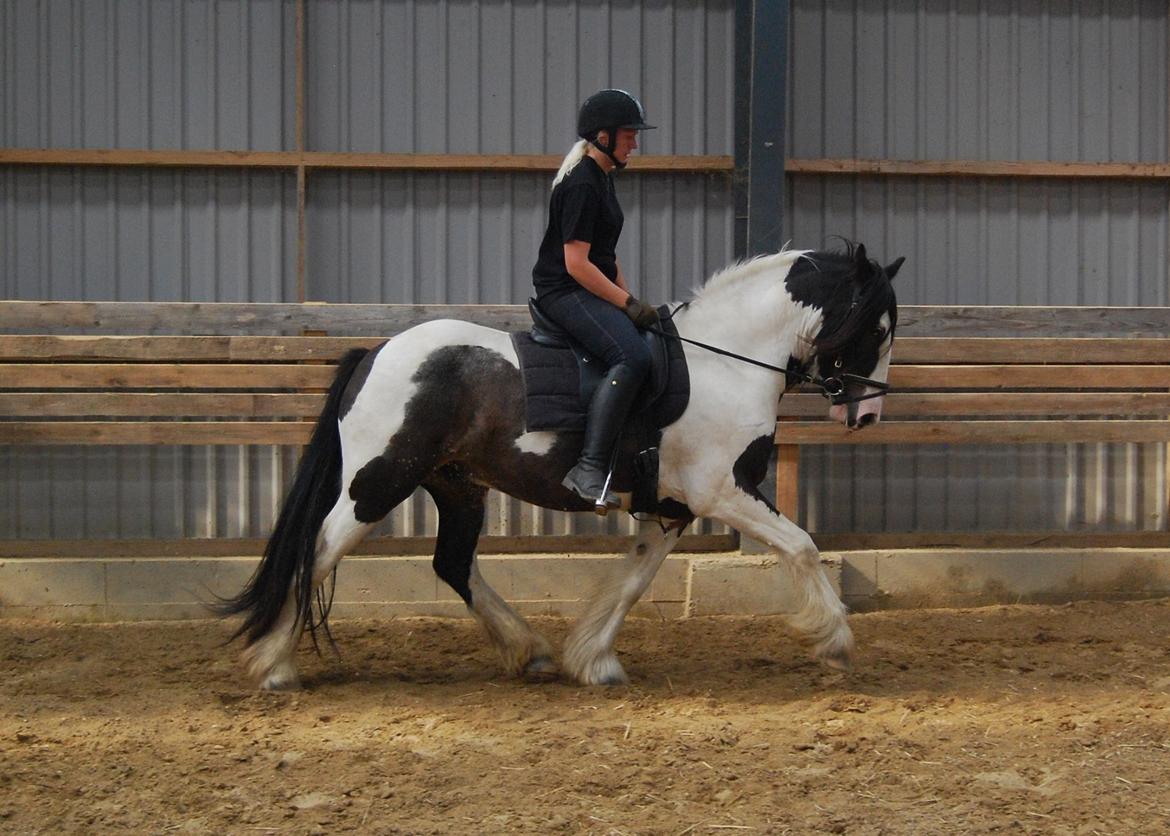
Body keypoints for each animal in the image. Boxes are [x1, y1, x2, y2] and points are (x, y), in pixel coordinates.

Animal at [215, 243, 898, 692]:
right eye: (879, 326)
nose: (866, 413)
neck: (727, 360)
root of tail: (374, 353)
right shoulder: (723, 491)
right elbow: (802, 546)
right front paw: (836, 643)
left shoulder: (673, 508)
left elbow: (633, 581)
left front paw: (593, 660)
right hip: (378, 483)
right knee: (318, 550)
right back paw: (273, 666)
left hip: (456, 486)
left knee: (454, 564)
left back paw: (531, 650)